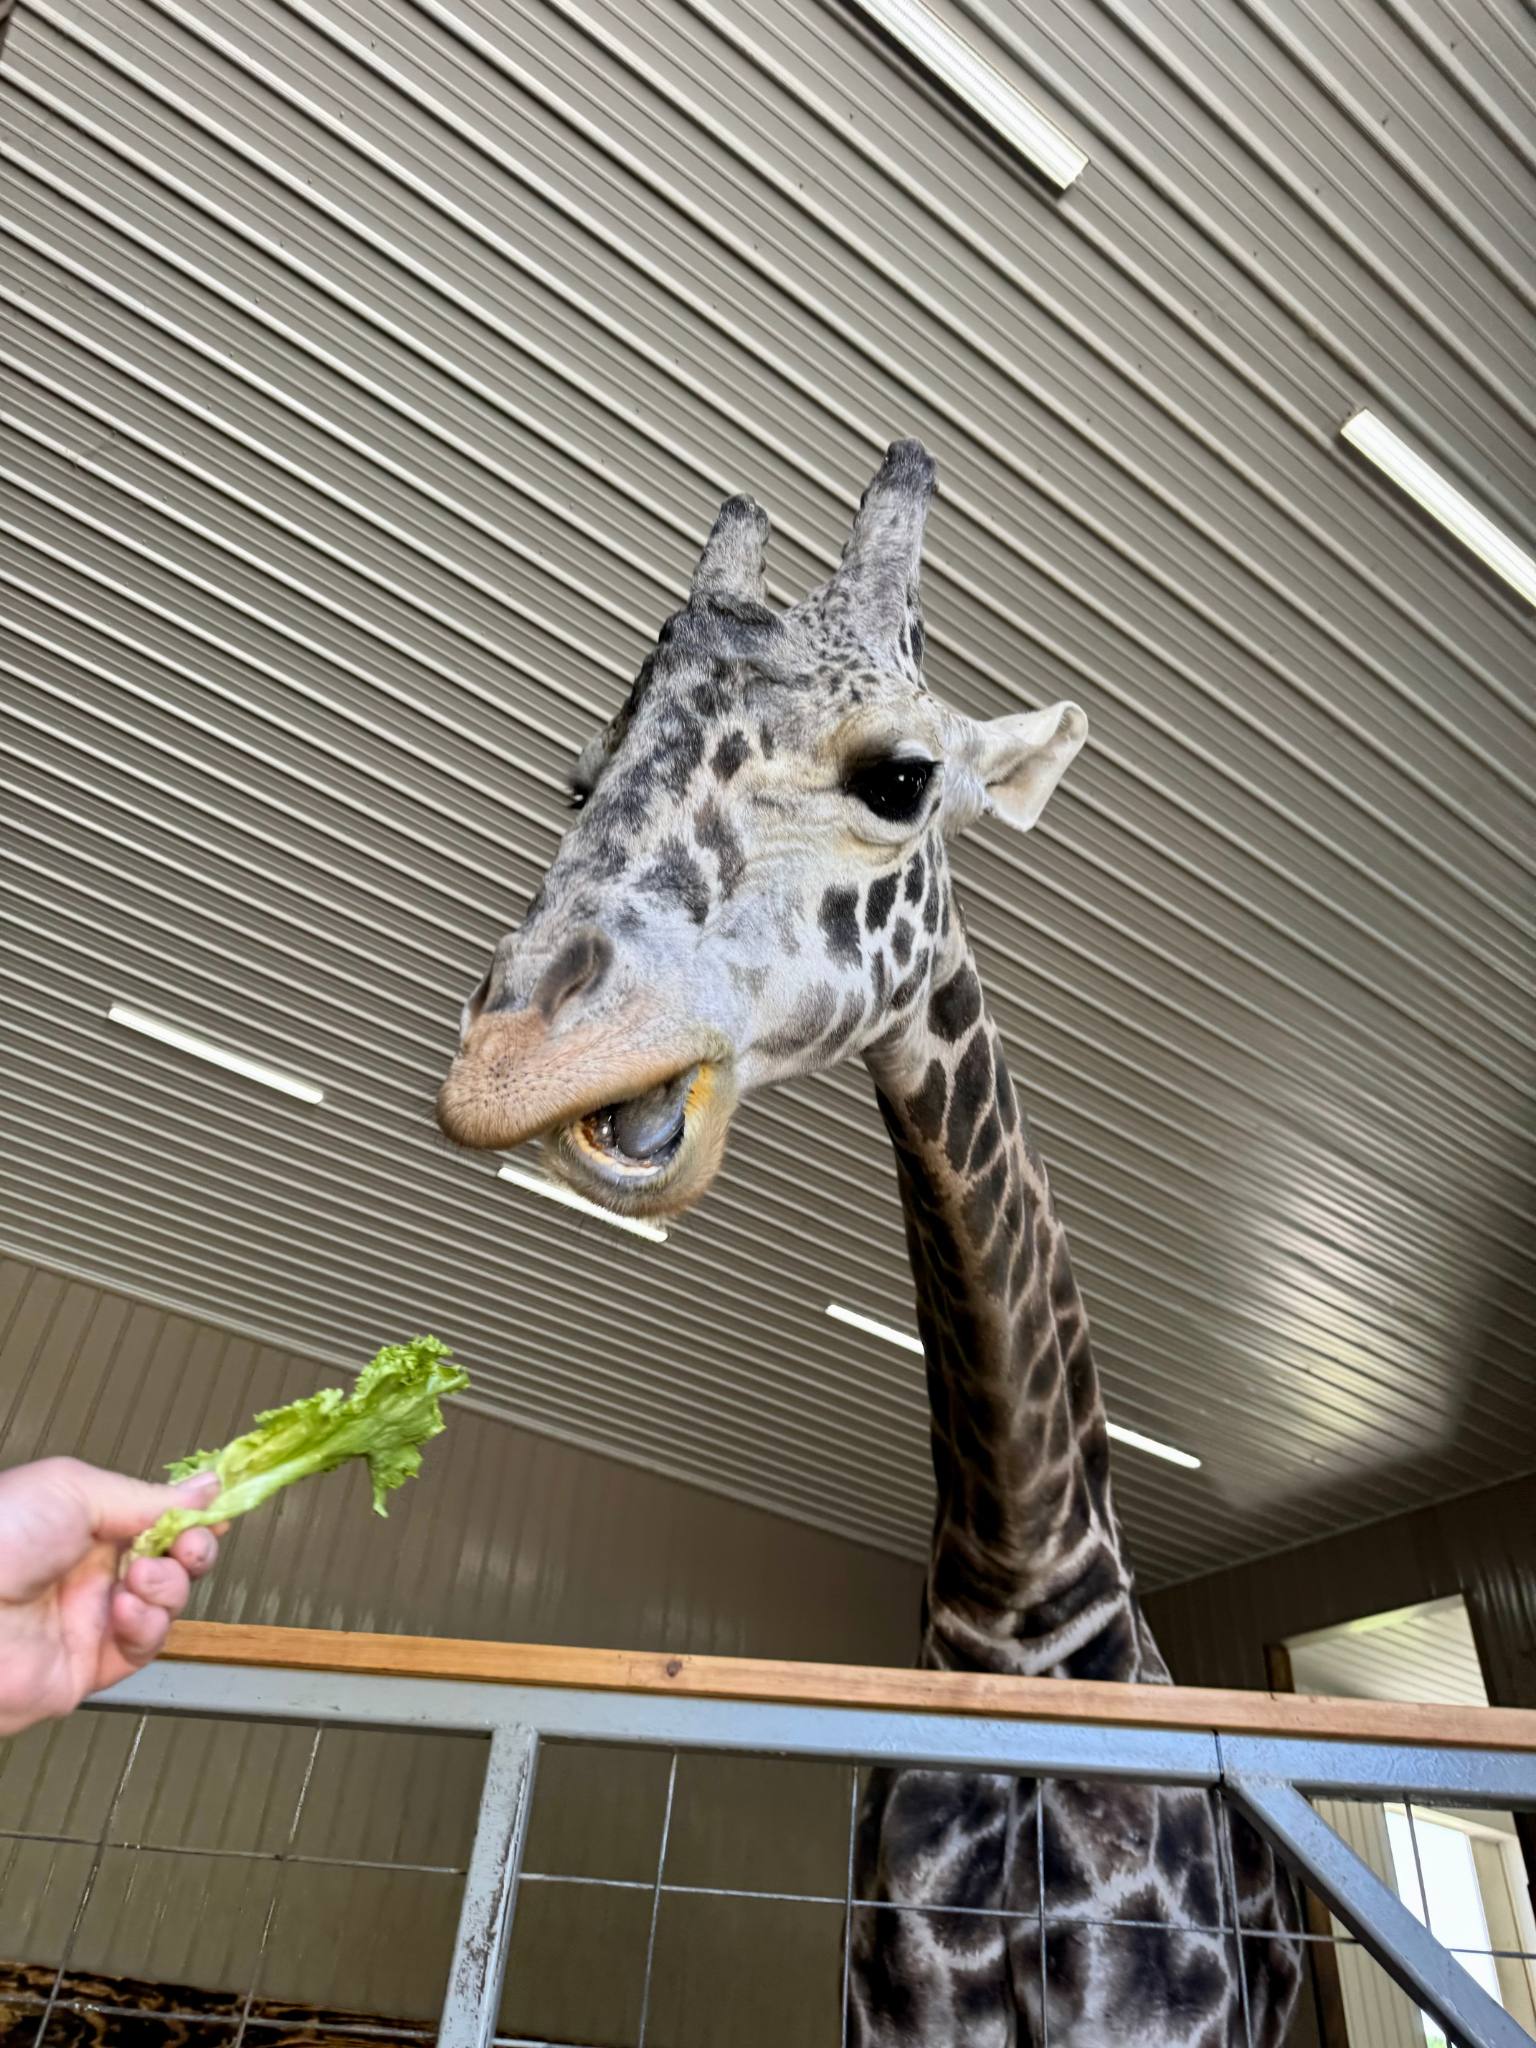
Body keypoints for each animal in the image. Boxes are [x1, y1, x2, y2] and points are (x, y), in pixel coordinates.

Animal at [436, 441, 1302, 2046]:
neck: (1014, 1605)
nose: (510, 1064)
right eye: (581, 780)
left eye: (902, 776)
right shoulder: (899, 2006)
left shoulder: (1154, 2014)